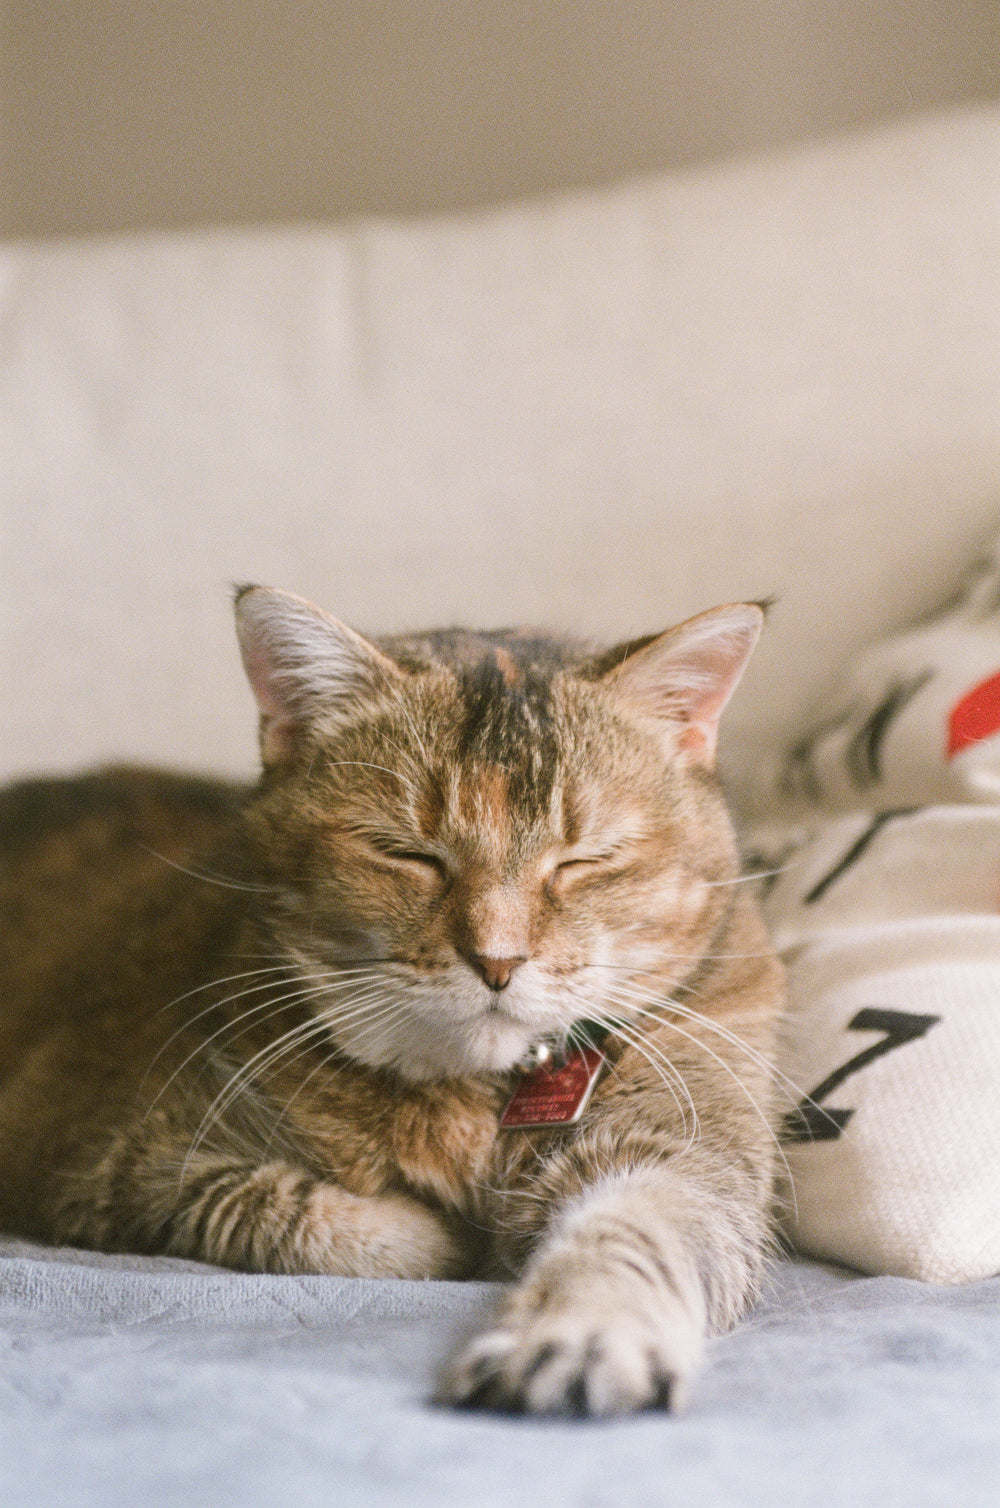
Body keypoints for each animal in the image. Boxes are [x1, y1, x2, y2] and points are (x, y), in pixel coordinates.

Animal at [0, 585, 784, 1411]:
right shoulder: (120, 1162)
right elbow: (303, 1215)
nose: (498, 960)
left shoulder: (684, 1151)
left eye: (584, 859)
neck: (475, 1099)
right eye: (406, 853)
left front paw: (579, 1335)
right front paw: (455, 1238)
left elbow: (636, 1231)